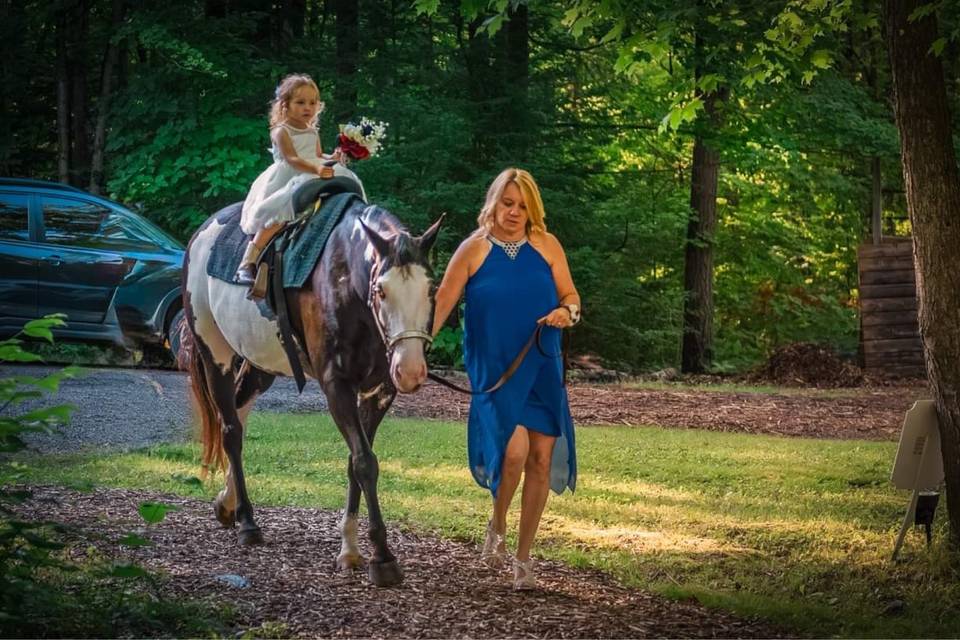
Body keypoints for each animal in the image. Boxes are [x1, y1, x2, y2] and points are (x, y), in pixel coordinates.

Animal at [180, 192, 442, 588]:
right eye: (381, 290)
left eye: (431, 289)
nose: (410, 370)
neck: (346, 282)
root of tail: (200, 234)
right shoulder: (337, 387)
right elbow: (365, 462)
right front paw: (382, 557)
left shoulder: (380, 391)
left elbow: (355, 462)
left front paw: (350, 549)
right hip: (216, 355)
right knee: (230, 430)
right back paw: (247, 522)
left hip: (260, 365)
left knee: (239, 410)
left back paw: (227, 504)